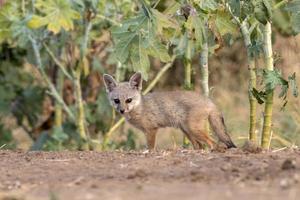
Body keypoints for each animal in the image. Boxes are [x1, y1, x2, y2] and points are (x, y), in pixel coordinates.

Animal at [103, 72, 237, 149]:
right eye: (116, 101)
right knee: (200, 146)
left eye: (129, 100)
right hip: (187, 131)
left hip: (194, 129)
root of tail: (209, 100)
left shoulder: (151, 130)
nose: (122, 110)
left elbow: (150, 148)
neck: (141, 107)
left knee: (213, 143)